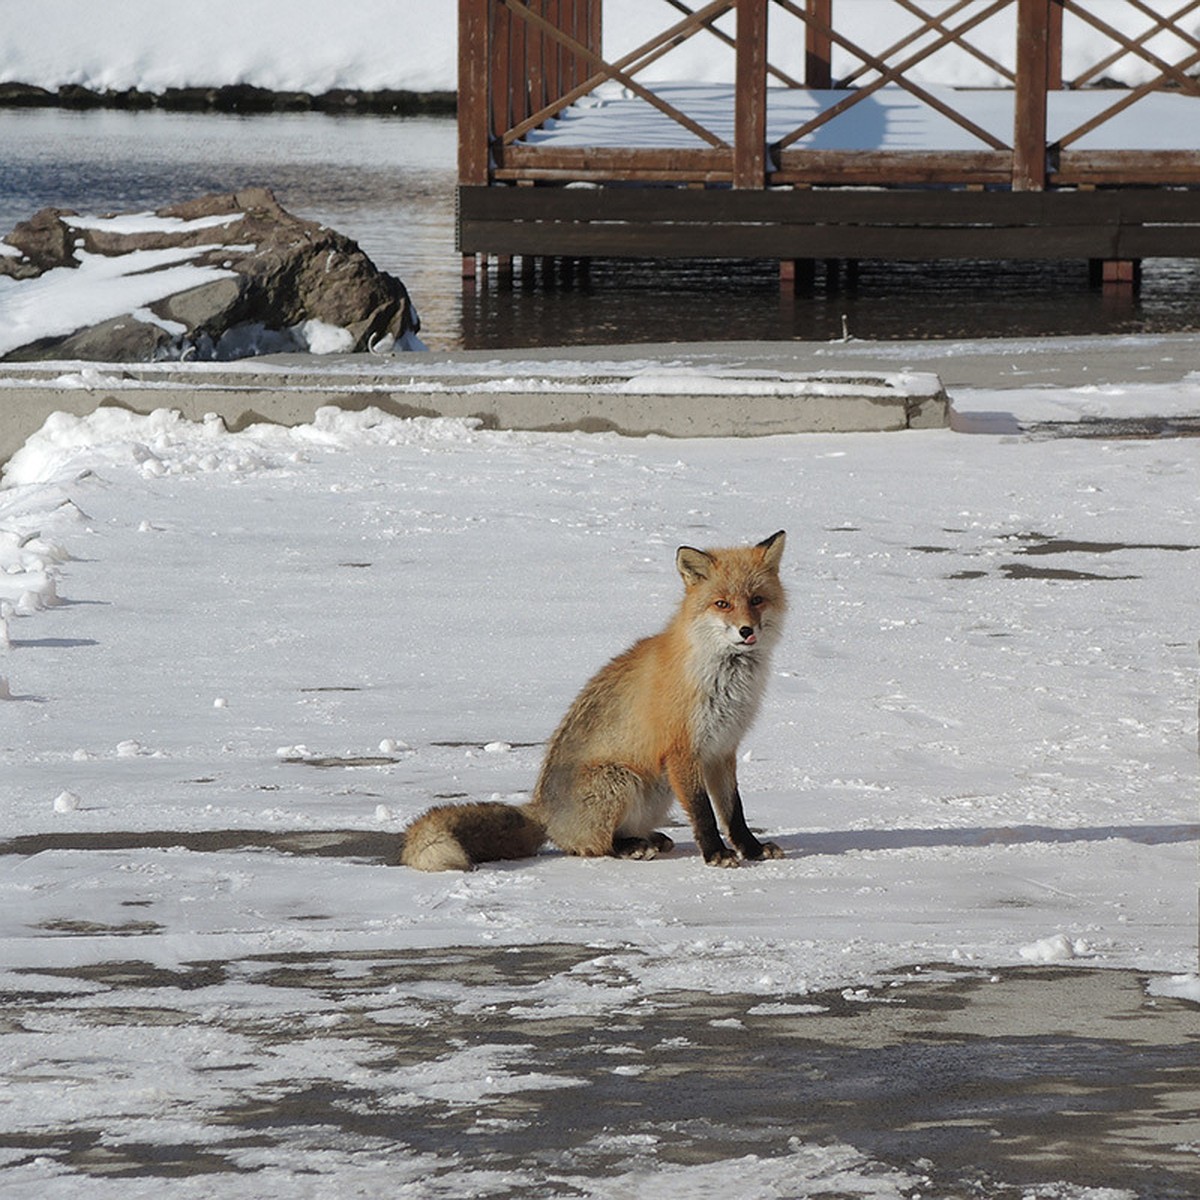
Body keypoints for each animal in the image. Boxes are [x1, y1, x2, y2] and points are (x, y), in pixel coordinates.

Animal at [403, 535, 787, 873]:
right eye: (722, 603)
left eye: (756, 600)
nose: (746, 631)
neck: (722, 675)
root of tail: (544, 812)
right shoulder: (682, 750)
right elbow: (704, 812)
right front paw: (716, 854)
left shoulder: (721, 749)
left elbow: (733, 810)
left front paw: (752, 849)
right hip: (621, 779)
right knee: (595, 845)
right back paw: (631, 847)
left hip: (656, 790)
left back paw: (648, 838)